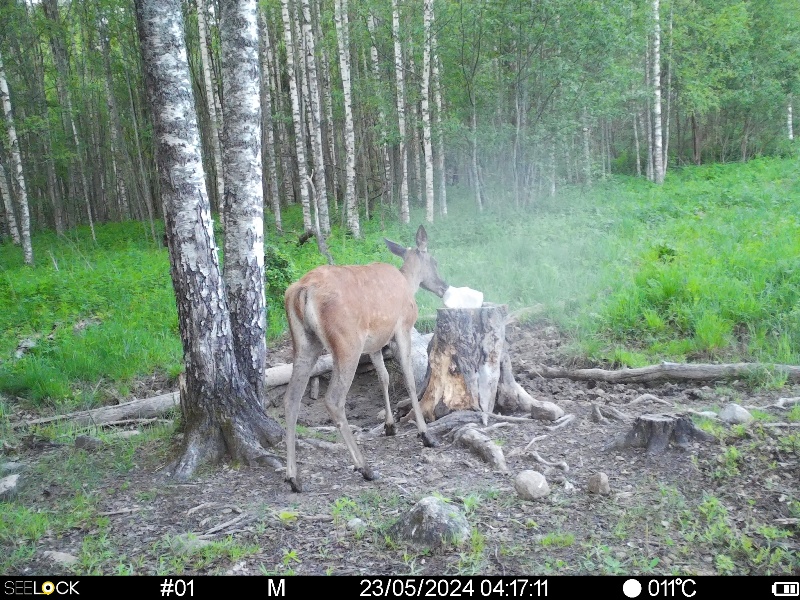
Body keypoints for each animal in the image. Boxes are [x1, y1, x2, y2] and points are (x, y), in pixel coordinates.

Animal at [282, 225, 449, 492]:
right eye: (434, 261)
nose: (444, 286)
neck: (408, 281)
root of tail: (303, 290)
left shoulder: (375, 343)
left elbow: (384, 377)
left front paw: (390, 425)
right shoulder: (402, 327)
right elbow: (410, 380)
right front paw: (425, 434)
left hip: (305, 343)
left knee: (291, 399)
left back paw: (293, 477)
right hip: (347, 343)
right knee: (334, 399)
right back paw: (364, 467)